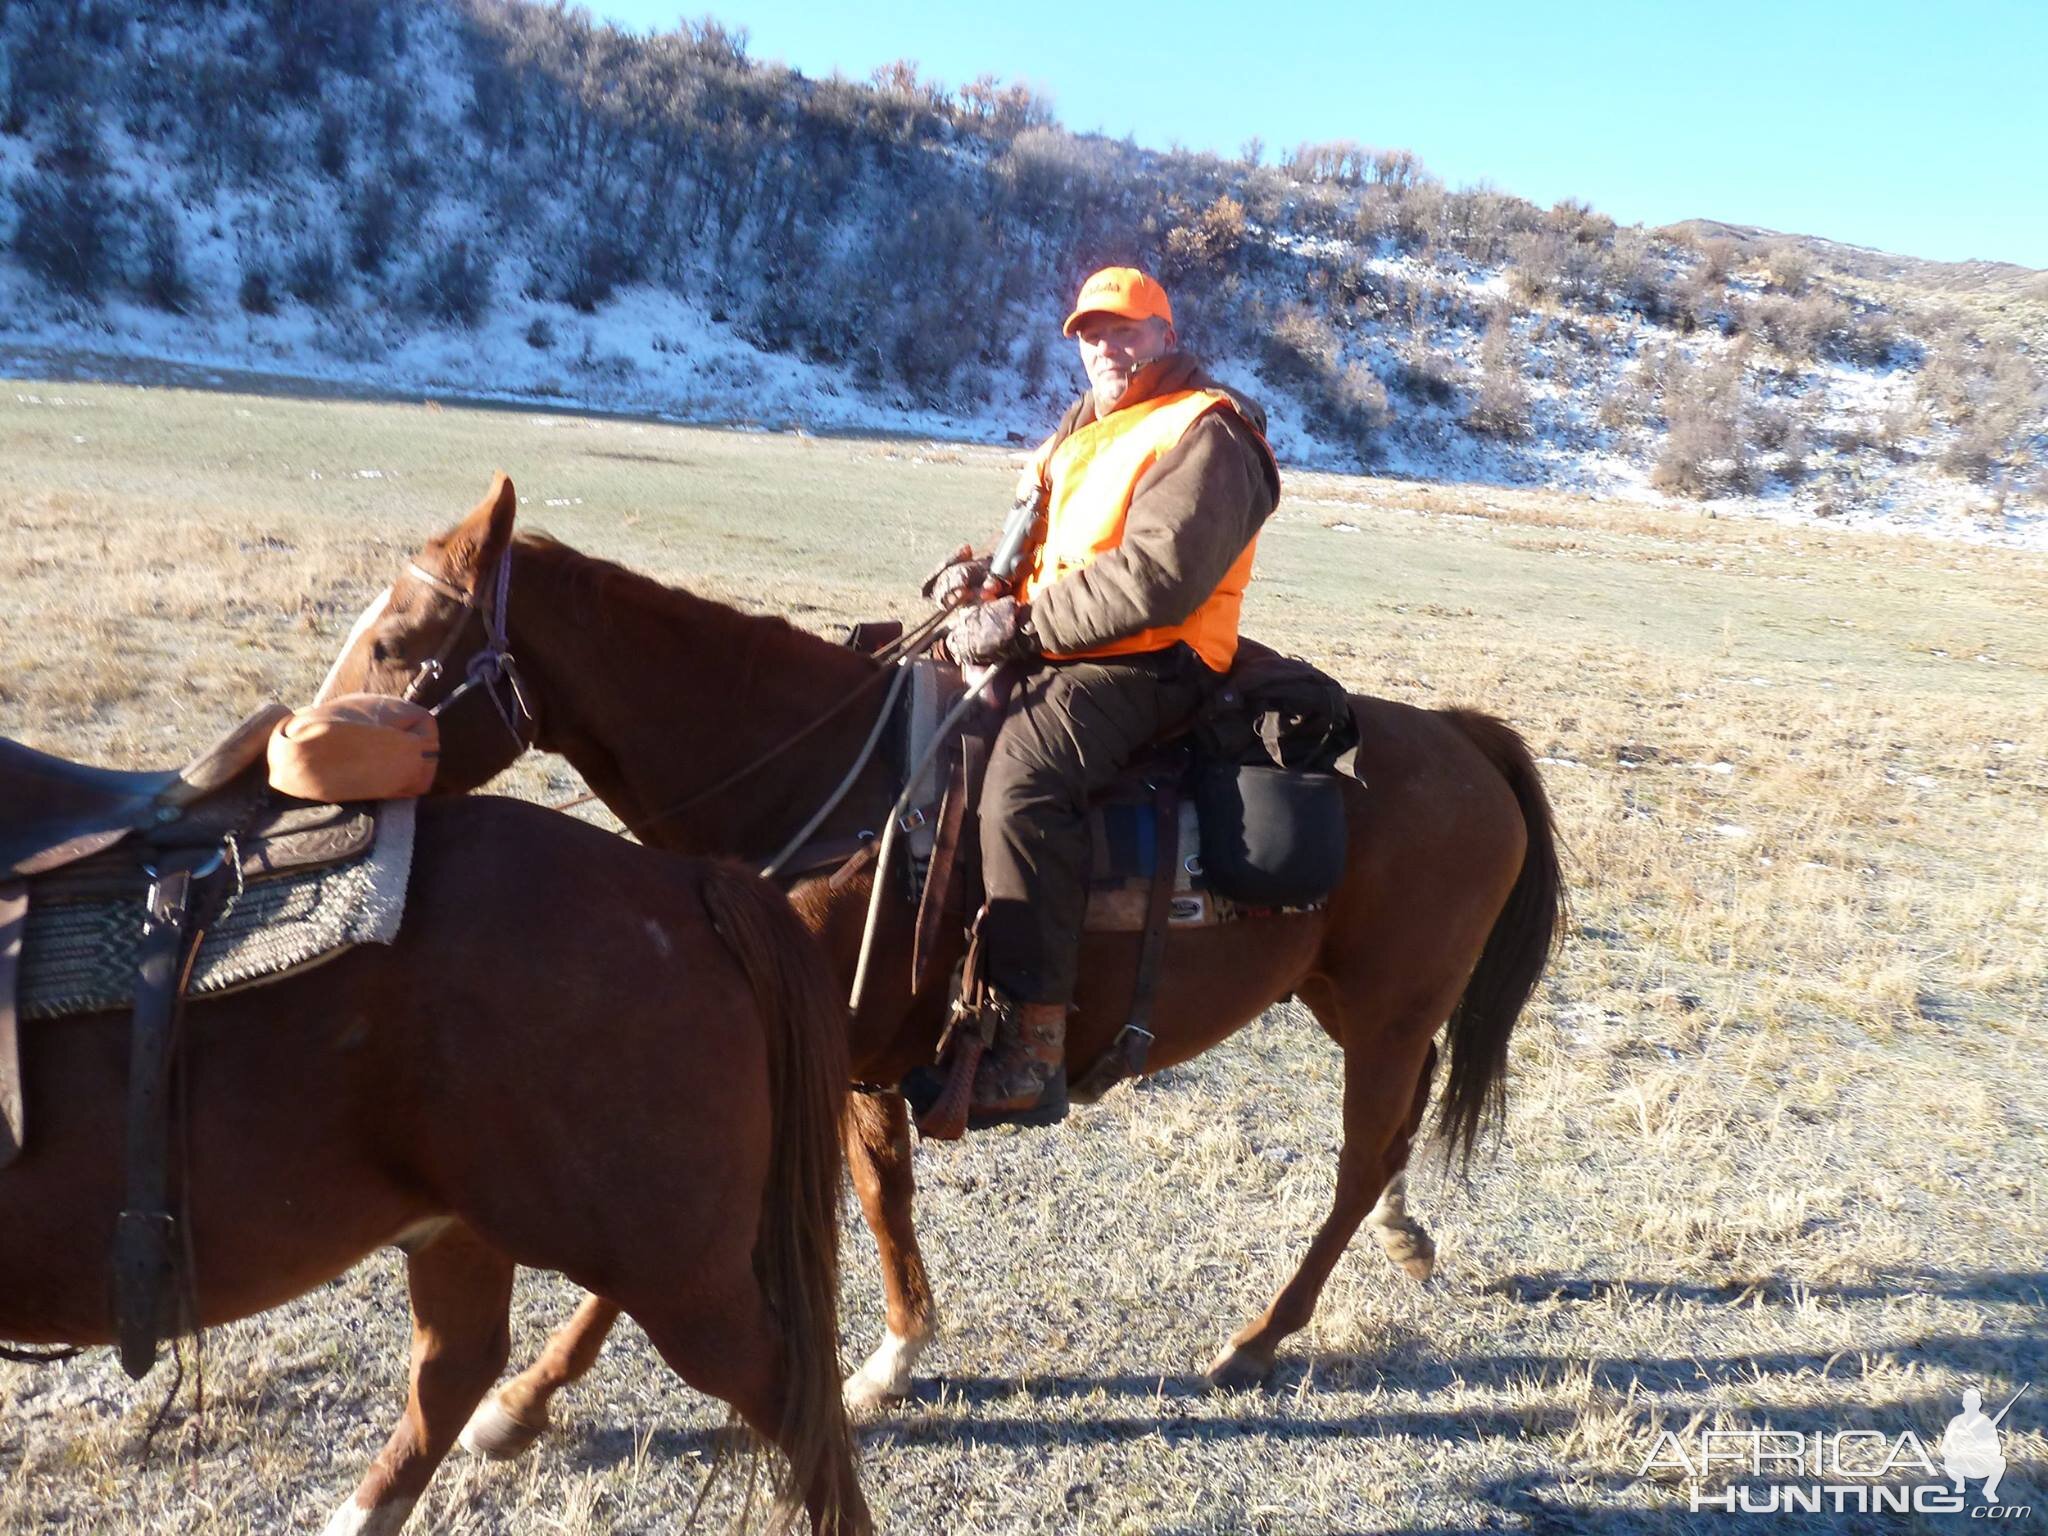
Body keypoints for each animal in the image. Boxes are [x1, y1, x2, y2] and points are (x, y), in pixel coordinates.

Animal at [323, 479, 1564, 1441]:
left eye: (395, 645)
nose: (303, 778)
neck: (841, 785)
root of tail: (1464, 739)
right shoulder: (852, 1053)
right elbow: (882, 1193)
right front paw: (895, 1355)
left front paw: (517, 1405)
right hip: (1349, 1003)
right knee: (1395, 1135)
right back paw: (1402, 1241)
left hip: (1390, 1011)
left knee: (1358, 1160)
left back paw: (1260, 1338)